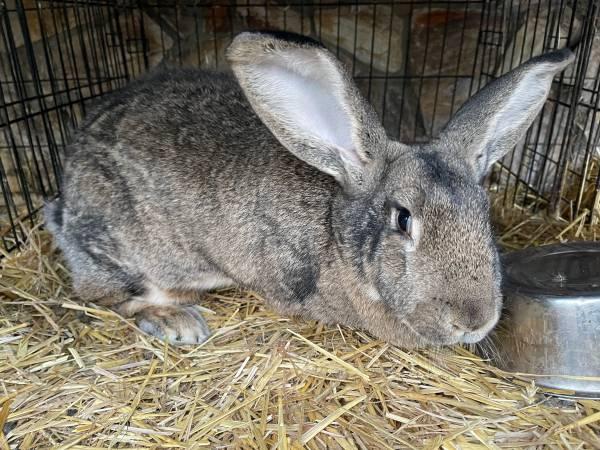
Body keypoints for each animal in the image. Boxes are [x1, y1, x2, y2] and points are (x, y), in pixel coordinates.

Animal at [44, 30, 576, 348]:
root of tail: (64, 198)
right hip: (130, 253)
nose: (474, 320)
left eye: (484, 212)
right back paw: (178, 322)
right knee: (106, 295)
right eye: (402, 219)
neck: (335, 234)